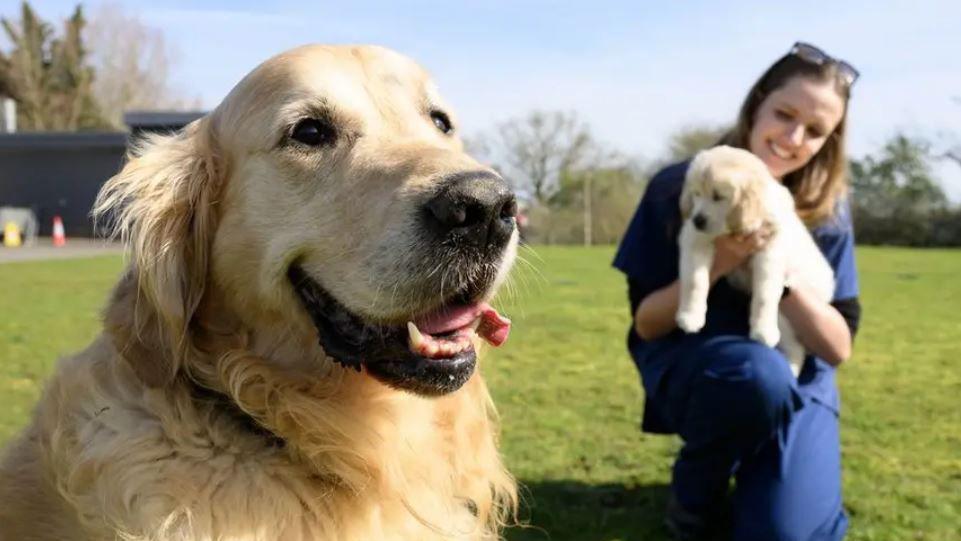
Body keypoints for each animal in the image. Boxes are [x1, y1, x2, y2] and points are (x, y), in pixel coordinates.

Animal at [676, 147, 832, 376]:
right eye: (696, 193)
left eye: (718, 196)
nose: (698, 220)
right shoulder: (695, 240)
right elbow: (695, 281)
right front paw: (690, 317)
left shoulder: (769, 252)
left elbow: (765, 294)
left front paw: (763, 332)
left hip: (787, 315)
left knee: (796, 348)